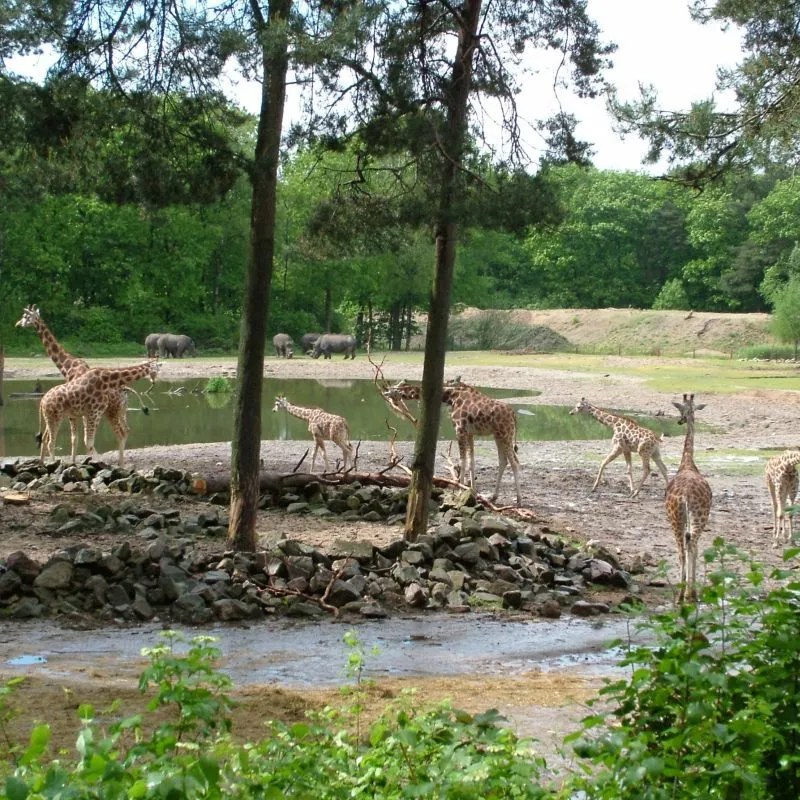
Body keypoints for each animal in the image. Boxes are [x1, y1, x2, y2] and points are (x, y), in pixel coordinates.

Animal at [14, 304, 130, 444]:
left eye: (25, 316)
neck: (67, 366)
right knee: (127, 430)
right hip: (121, 411)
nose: (17, 324)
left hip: (112, 410)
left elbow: (76, 437)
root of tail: (124, 393)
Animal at [382, 378, 520, 504]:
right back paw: (493, 497)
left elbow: (462, 461)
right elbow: (471, 461)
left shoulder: (460, 430)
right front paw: (473, 492)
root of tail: (514, 415)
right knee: (503, 461)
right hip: (498, 435)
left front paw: (460, 491)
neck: (450, 397)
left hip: (505, 434)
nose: (385, 394)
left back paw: (518, 500)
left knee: (514, 463)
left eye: (395, 390)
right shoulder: (470, 433)